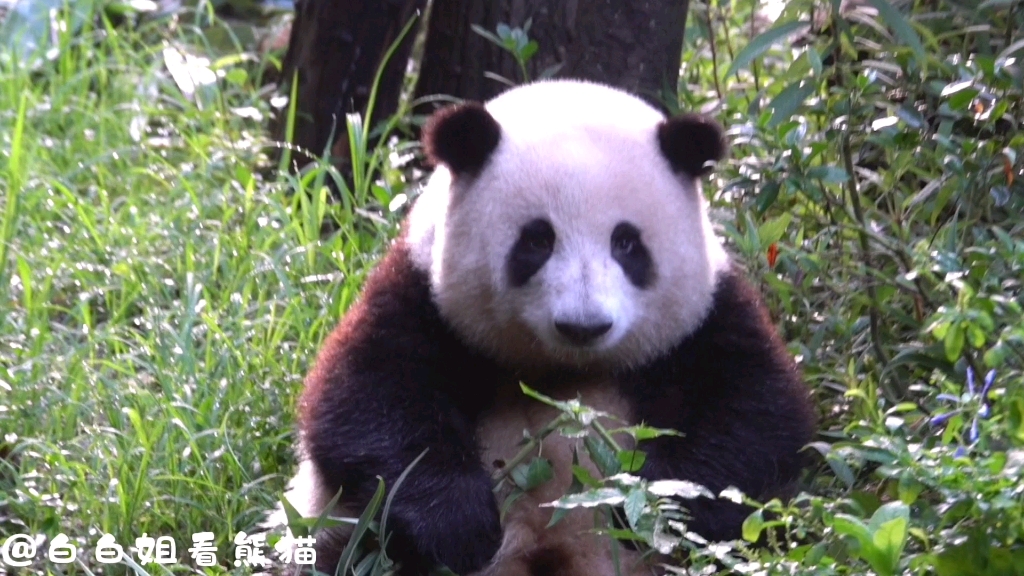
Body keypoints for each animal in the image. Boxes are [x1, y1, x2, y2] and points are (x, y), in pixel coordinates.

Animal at [274, 77, 815, 573]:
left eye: (626, 243)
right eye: (536, 240)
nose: (583, 325)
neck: (563, 370)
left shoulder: (705, 318)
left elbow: (753, 419)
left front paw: (653, 505)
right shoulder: (422, 297)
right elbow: (369, 403)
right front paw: (459, 527)